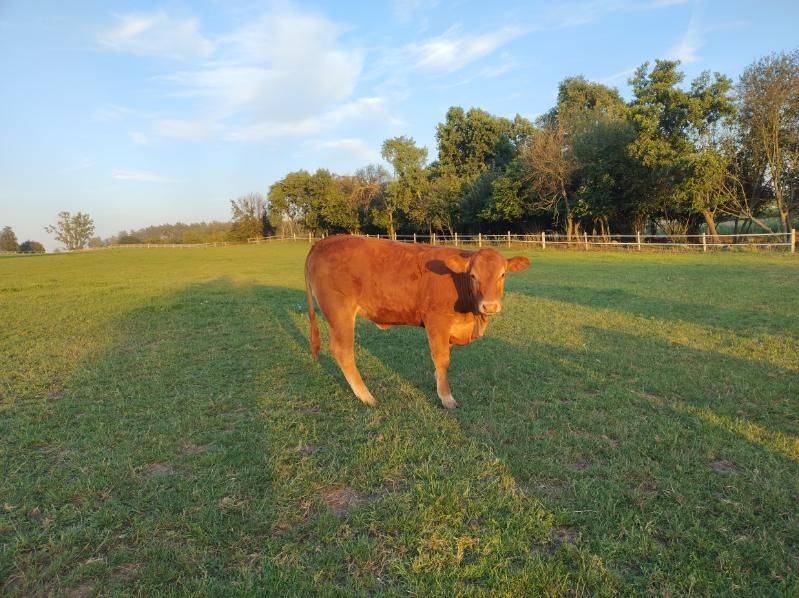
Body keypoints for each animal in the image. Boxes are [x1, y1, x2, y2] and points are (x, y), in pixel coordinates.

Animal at [306, 237, 532, 410]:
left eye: (503, 274)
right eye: (473, 275)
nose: (490, 306)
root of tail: (324, 241)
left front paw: (438, 383)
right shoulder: (436, 321)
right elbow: (442, 359)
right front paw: (447, 398)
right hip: (339, 313)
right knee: (343, 351)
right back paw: (367, 396)